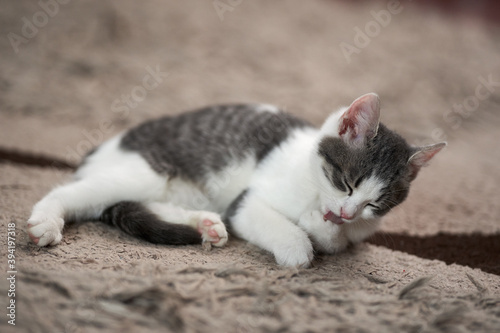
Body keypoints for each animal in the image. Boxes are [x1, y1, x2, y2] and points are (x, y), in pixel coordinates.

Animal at [26, 93, 446, 268]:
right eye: (346, 182)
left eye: (374, 203)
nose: (346, 212)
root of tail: (100, 151)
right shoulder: (247, 202)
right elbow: (275, 223)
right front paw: (299, 245)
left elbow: (339, 242)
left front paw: (324, 228)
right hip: (143, 172)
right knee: (73, 192)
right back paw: (45, 221)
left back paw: (204, 226)